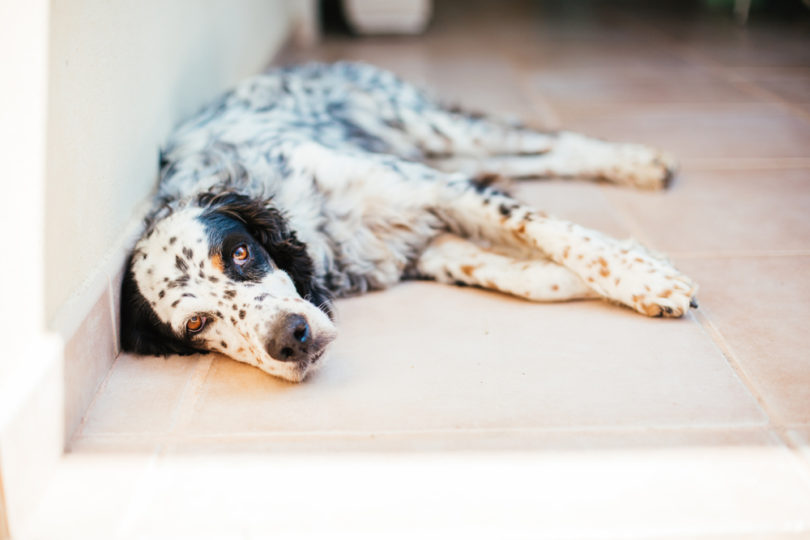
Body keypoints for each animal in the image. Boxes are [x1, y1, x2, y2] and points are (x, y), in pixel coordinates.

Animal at [120, 61, 696, 382]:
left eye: (241, 253)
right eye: (196, 323)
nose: (293, 339)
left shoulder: (431, 188)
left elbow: (546, 231)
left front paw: (645, 277)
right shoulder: (424, 244)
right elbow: (531, 279)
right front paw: (645, 267)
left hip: (437, 133)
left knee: (551, 141)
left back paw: (638, 162)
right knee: (533, 158)